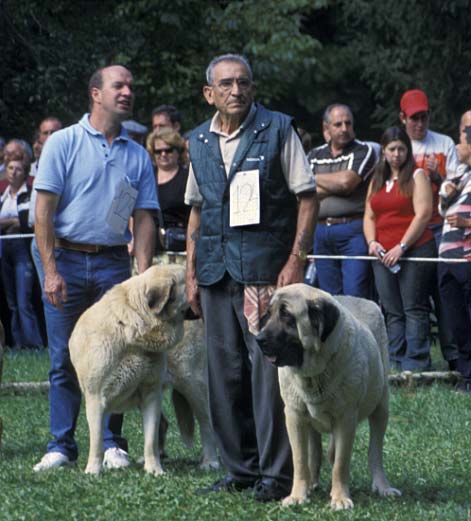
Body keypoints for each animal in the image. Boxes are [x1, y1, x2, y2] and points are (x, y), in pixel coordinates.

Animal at [254, 284, 402, 508]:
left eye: (287, 315)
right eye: (268, 314)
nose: (259, 339)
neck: (313, 374)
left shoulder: (345, 418)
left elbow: (341, 462)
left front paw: (340, 498)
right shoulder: (295, 417)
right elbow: (300, 460)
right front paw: (297, 495)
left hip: (381, 407)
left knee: (374, 452)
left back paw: (383, 487)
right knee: (315, 453)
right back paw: (311, 484)